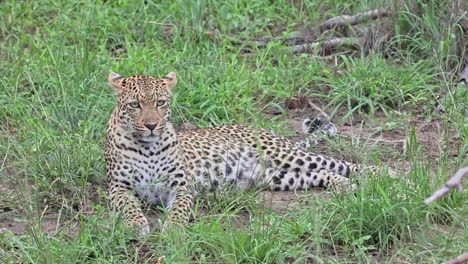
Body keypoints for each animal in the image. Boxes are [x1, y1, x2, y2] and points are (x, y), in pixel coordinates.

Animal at [106, 71, 392, 235]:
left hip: (284, 154)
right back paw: (343, 187)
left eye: (161, 103)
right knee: (319, 173)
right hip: (275, 176)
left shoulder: (180, 186)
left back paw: (384, 173)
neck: (148, 147)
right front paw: (137, 225)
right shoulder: (118, 187)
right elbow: (128, 205)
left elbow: (179, 208)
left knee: (337, 163)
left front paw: (174, 228)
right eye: (135, 105)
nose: (152, 125)